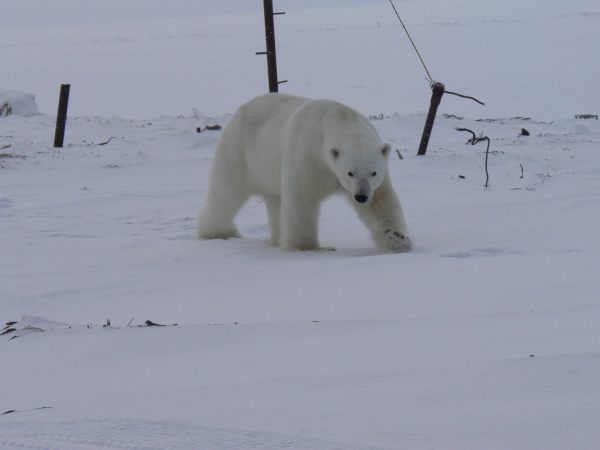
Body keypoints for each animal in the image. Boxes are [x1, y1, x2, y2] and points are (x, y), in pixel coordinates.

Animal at [197, 92, 412, 253]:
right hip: (238, 150)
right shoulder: (306, 156)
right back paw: (218, 232)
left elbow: (381, 201)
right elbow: (301, 199)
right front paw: (307, 247)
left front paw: (396, 238)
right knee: (226, 193)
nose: (360, 196)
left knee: (274, 200)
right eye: (350, 173)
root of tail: (239, 110)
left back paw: (276, 239)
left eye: (373, 173)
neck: (340, 118)